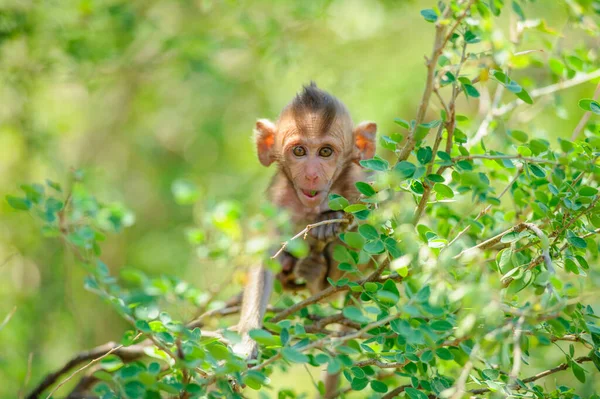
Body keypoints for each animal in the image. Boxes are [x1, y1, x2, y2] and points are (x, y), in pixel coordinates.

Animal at [234, 82, 376, 394]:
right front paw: (247, 340)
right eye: (299, 151)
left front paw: (328, 219)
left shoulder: (360, 183)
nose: (311, 175)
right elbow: (266, 259)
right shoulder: (278, 199)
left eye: (325, 152)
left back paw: (319, 274)